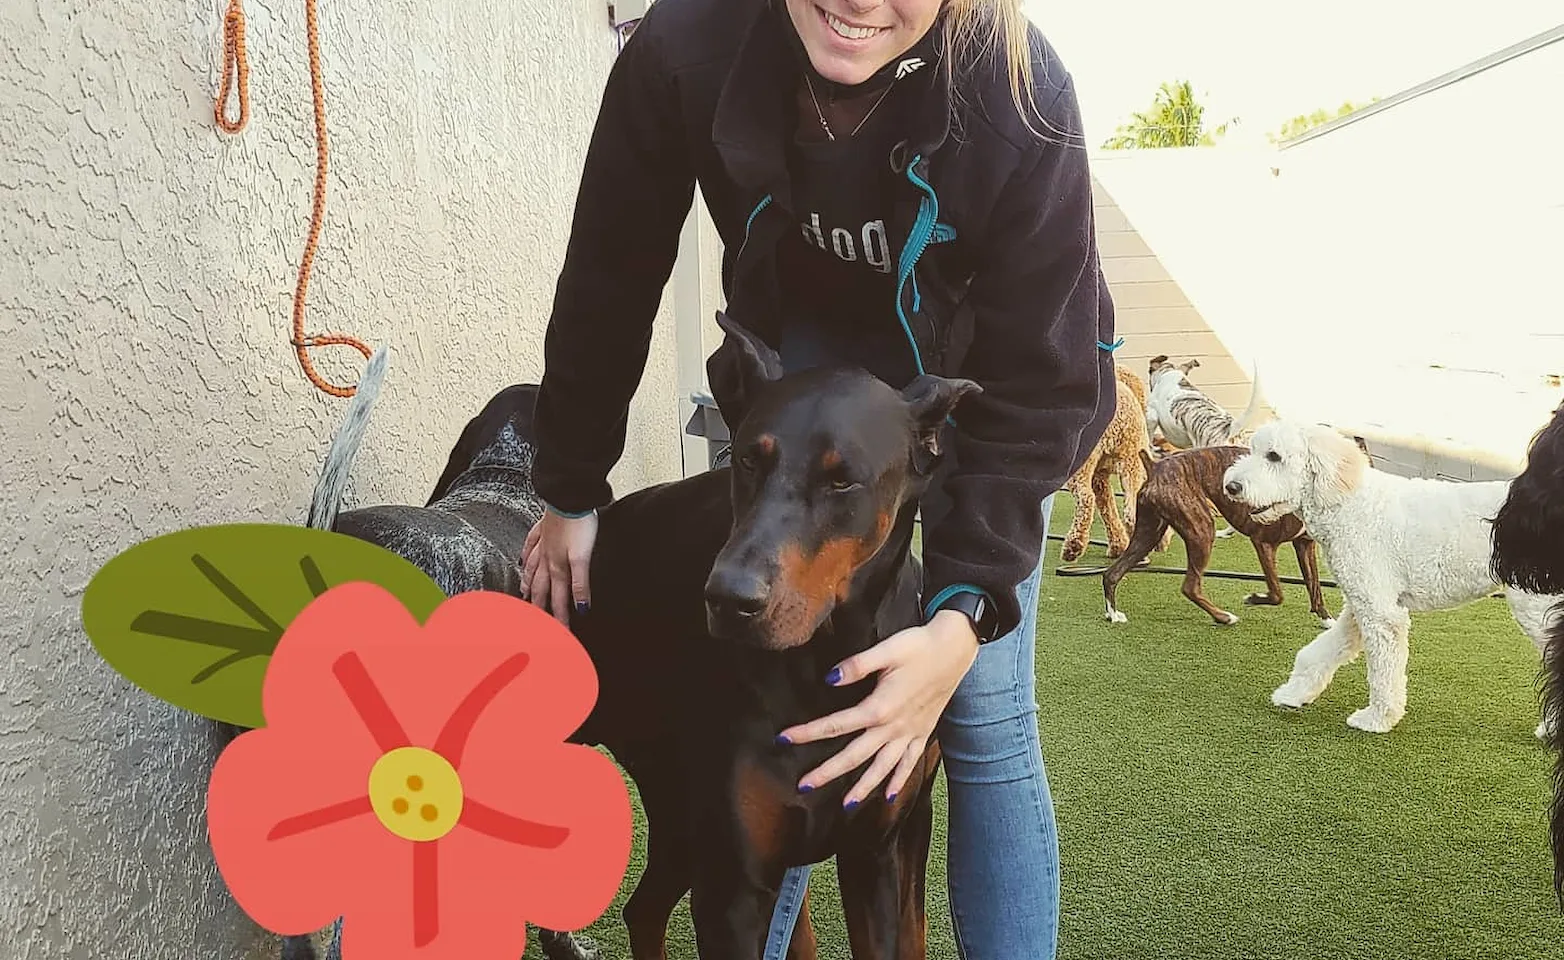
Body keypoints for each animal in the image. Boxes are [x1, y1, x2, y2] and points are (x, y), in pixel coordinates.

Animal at [298, 312, 969, 956]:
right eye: (747, 459)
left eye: (842, 480)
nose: (727, 599)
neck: (822, 666)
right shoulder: (733, 886)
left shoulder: (877, 853)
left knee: (638, 908)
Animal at [1226, 422, 1557, 737]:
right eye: (1252, 450)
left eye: (1274, 456)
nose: (1231, 487)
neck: (1349, 502)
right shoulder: (1359, 604)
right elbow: (1320, 651)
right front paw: (1293, 694)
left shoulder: (1382, 615)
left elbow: (1383, 672)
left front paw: (1377, 719)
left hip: (1535, 607)